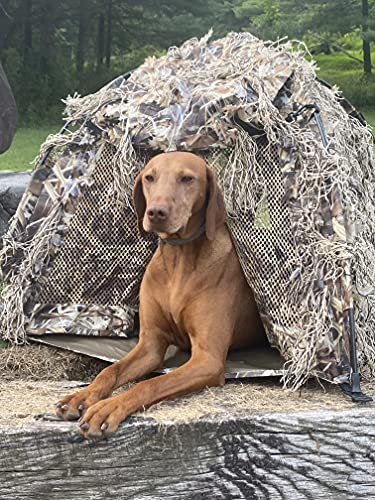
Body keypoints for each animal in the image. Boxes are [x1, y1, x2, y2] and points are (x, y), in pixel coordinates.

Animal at [55, 151, 262, 438]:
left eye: (187, 178)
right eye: (150, 177)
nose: (155, 212)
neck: (179, 261)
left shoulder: (207, 359)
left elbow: (150, 384)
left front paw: (108, 407)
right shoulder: (150, 345)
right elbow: (110, 370)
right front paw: (82, 396)